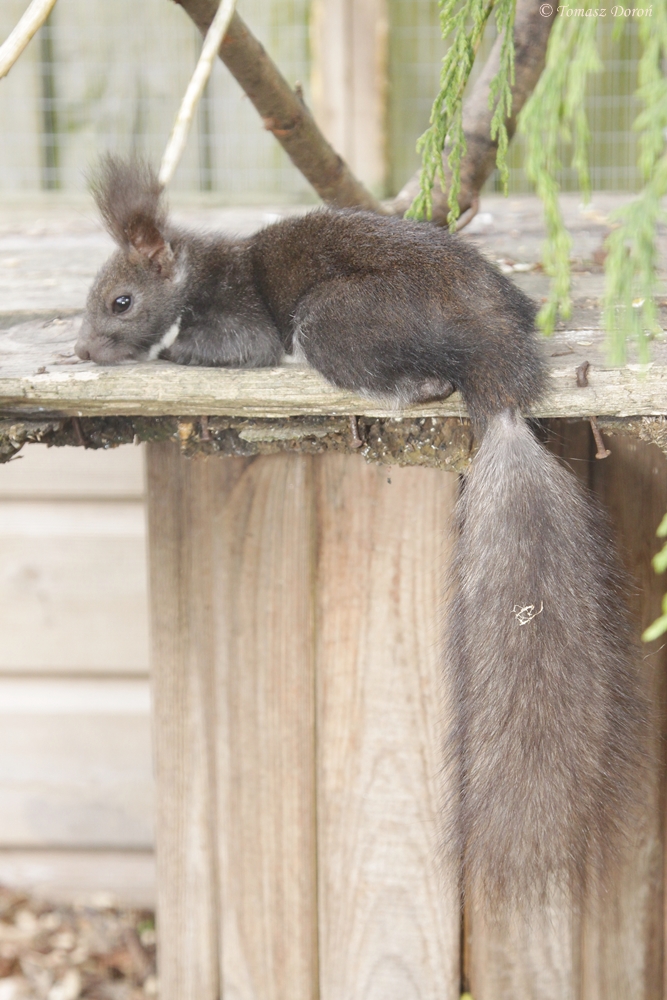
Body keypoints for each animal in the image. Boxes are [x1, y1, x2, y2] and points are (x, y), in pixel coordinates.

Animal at [76, 157, 647, 909]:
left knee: (418, 379)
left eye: (121, 301)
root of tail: (499, 367)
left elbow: (228, 349)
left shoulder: (240, 321)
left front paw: (170, 357)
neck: (195, 274)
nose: (81, 349)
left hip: (335, 319)